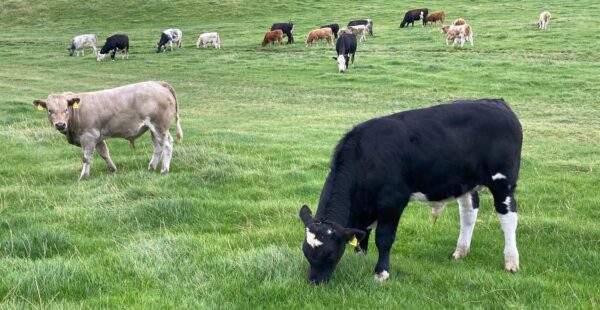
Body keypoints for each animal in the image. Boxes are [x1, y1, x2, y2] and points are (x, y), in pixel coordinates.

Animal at [31, 81, 182, 180]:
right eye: (50, 110)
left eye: (65, 109)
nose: (60, 125)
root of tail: (158, 83)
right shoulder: (98, 137)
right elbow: (104, 153)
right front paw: (113, 169)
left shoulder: (89, 136)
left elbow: (86, 157)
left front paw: (83, 176)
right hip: (153, 128)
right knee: (158, 146)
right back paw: (151, 167)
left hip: (159, 125)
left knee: (167, 144)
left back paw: (164, 170)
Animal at [298, 98, 520, 284]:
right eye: (306, 252)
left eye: (330, 255)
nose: (315, 282)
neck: (367, 155)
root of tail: (497, 102)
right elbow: (362, 235)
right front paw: (360, 259)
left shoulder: (392, 201)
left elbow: (384, 238)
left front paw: (381, 273)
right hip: (466, 183)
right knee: (469, 213)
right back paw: (460, 251)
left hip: (503, 181)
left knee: (508, 216)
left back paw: (511, 262)